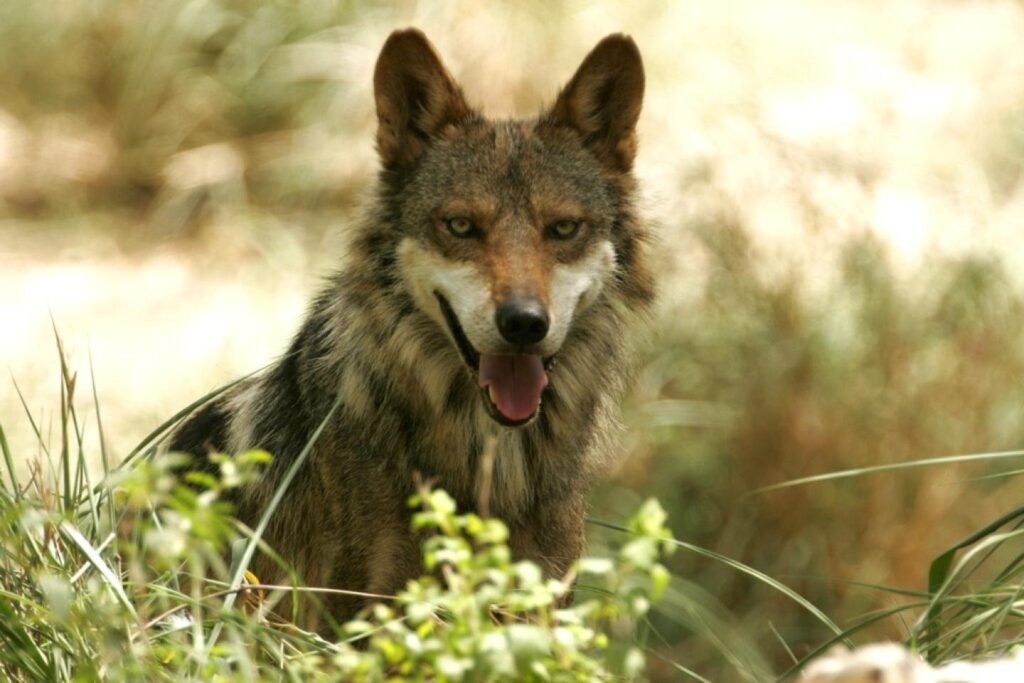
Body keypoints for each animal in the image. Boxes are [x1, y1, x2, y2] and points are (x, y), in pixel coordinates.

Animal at [168, 28, 653, 629]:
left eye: (563, 229)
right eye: (461, 226)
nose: (524, 324)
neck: (488, 454)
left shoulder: (544, 599)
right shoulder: (356, 610)